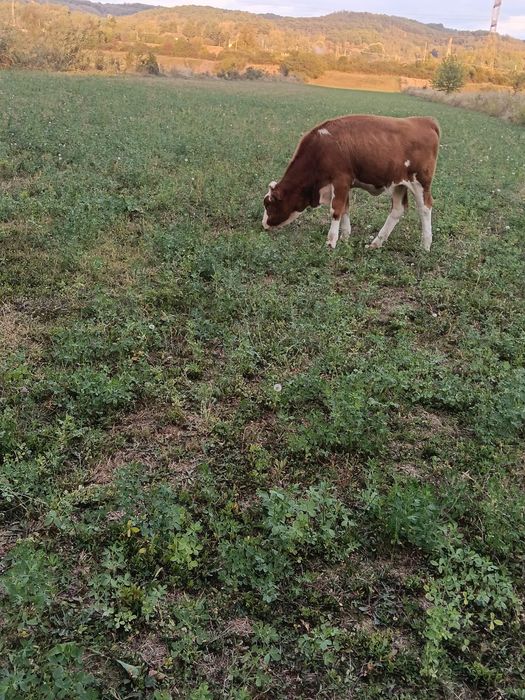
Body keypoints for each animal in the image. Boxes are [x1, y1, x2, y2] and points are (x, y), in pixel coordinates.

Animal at [262, 114, 441, 251]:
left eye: (269, 205)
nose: (263, 224)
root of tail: (425, 120)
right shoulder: (345, 184)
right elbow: (345, 209)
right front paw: (345, 237)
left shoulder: (340, 180)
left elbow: (336, 210)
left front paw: (331, 241)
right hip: (399, 184)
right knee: (397, 210)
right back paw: (376, 243)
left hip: (421, 182)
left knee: (425, 208)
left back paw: (425, 245)